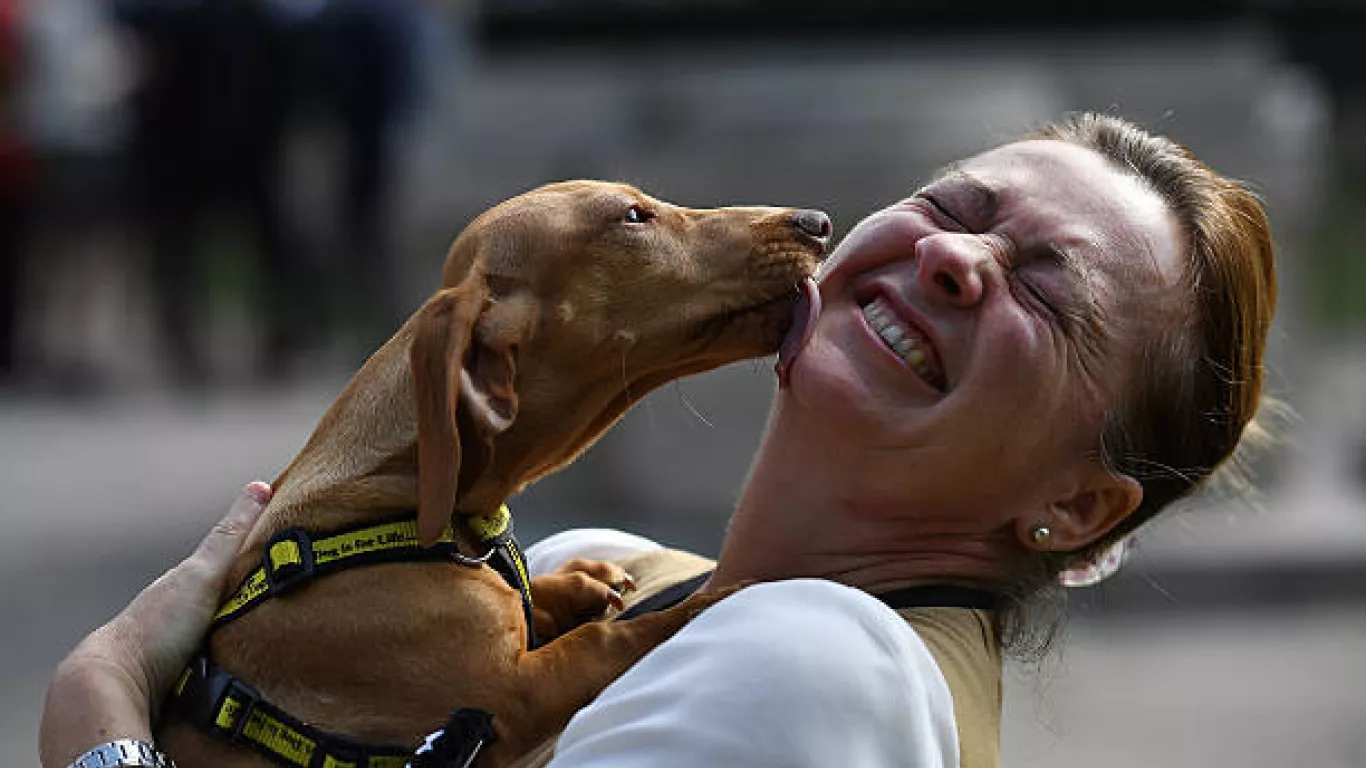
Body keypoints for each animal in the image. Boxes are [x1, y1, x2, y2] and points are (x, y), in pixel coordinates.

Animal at [155, 177, 825, 759]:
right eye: (632, 216)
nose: (817, 223)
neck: (396, 501)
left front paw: (578, 582)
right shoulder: (516, 696)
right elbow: (616, 635)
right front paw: (714, 600)